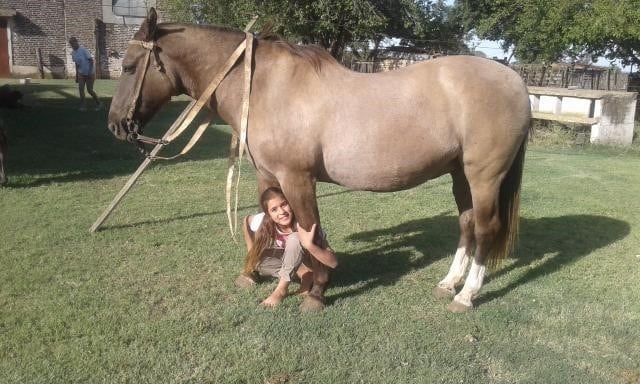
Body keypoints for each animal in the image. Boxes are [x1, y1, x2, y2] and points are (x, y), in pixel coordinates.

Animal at [107, 9, 532, 314]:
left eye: (128, 66)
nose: (115, 125)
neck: (264, 87)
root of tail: (515, 80)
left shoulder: (297, 178)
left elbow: (310, 231)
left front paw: (316, 290)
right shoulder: (268, 177)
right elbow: (267, 224)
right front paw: (265, 276)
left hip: (484, 176)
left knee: (487, 229)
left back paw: (467, 295)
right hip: (460, 174)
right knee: (467, 225)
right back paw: (449, 283)